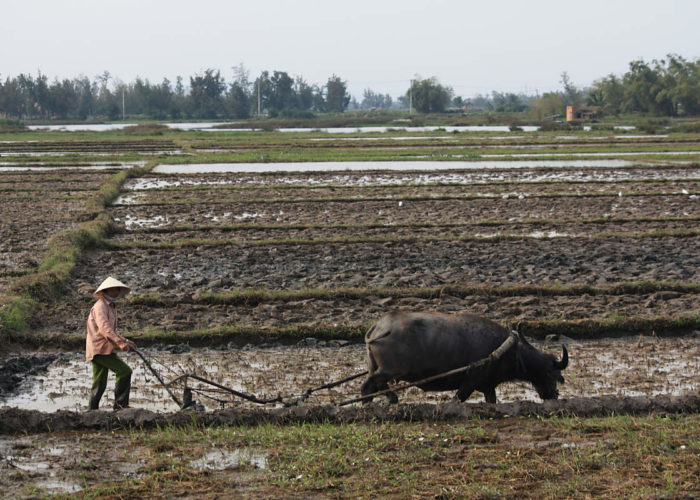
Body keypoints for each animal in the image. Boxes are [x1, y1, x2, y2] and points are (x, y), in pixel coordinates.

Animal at [360, 312, 568, 402]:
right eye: (549, 373)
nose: (554, 394)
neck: (506, 349)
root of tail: (378, 327)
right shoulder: (470, 381)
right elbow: (458, 398)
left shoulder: (488, 386)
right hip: (392, 369)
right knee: (371, 383)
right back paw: (387, 399)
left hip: (376, 366)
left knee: (372, 384)